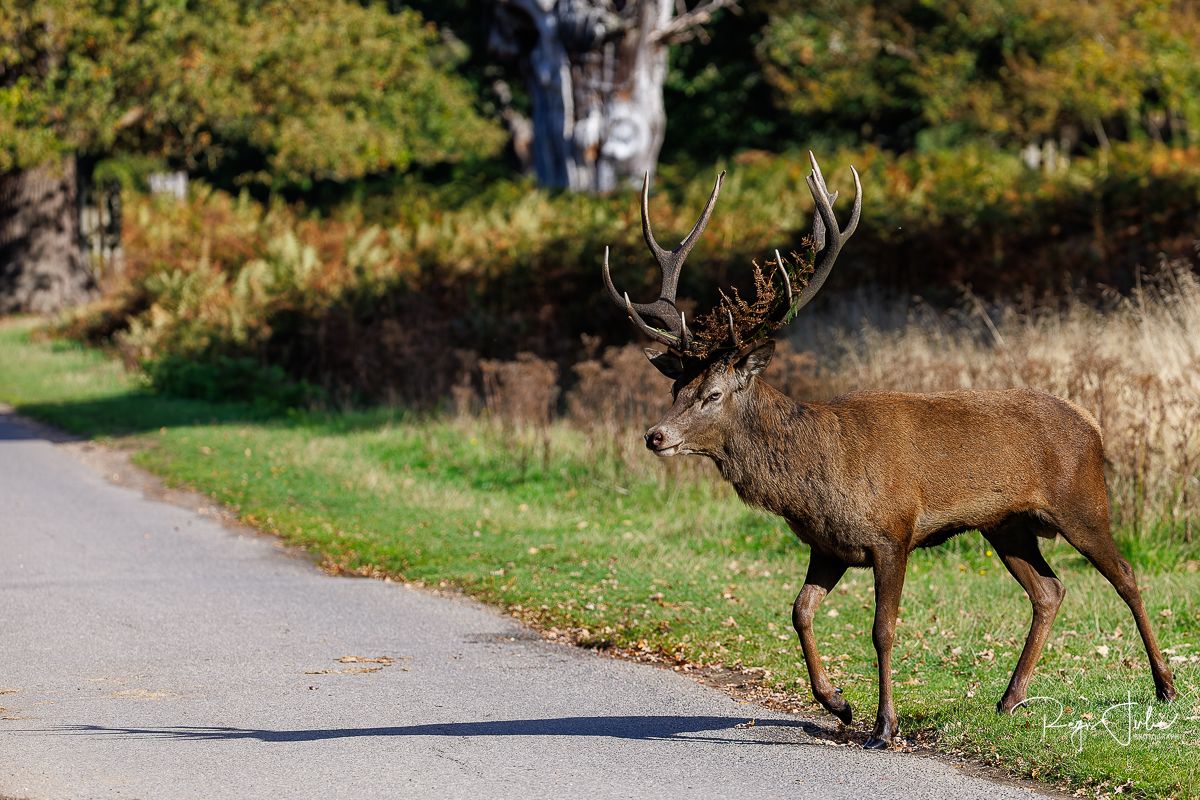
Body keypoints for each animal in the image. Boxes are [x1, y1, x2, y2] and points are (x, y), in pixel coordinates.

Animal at [600, 154, 1171, 753]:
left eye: (712, 394)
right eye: (675, 388)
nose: (655, 436)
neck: (812, 478)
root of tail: (1092, 423)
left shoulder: (893, 533)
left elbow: (883, 630)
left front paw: (884, 724)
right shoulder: (827, 545)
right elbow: (799, 611)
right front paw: (838, 703)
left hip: (1081, 500)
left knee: (1125, 574)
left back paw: (1164, 685)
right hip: (1006, 525)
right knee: (1050, 590)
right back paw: (1009, 698)